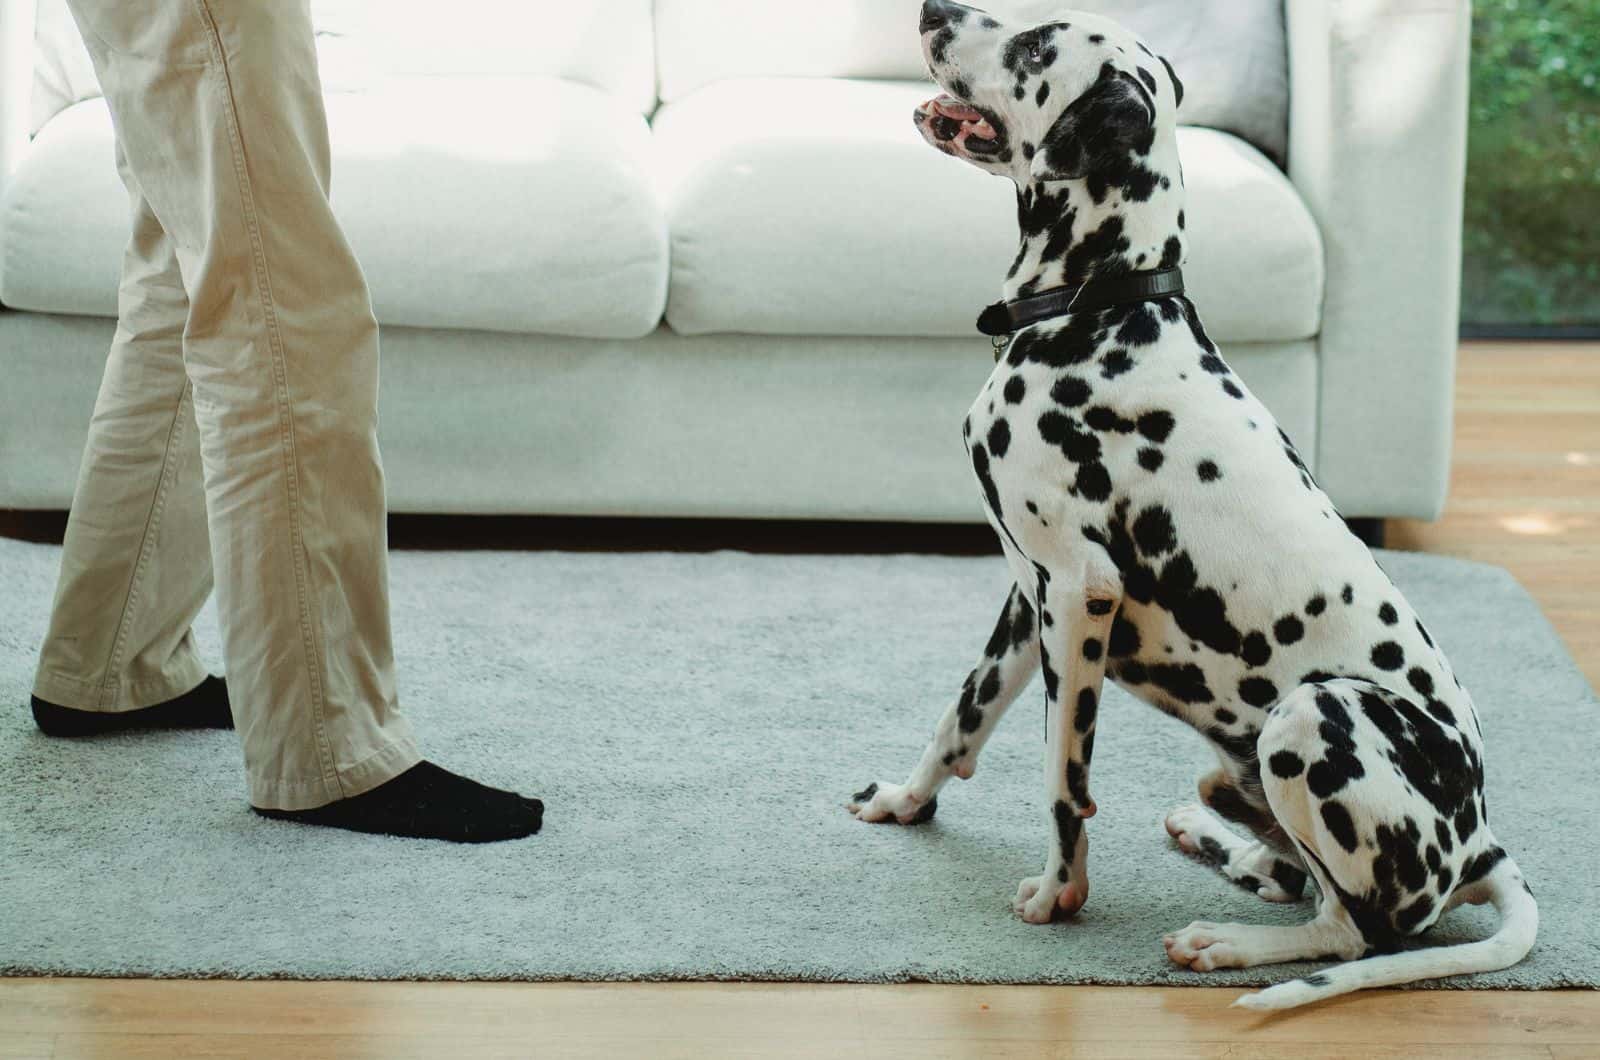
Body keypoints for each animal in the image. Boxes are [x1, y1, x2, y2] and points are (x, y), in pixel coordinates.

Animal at [851, 0, 1536, 1011]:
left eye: (1036, 44)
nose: (932, 10)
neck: (1099, 306)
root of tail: (1480, 841)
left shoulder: (1079, 594)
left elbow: (1064, 776)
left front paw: (1059, 893)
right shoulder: (1026, 593)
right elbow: (960, 718)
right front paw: (908, 801)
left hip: (1313, 715)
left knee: (1349, 929)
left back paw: (1226, 941)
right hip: (1240, 766)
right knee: (1289, 871)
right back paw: (1219, 843)